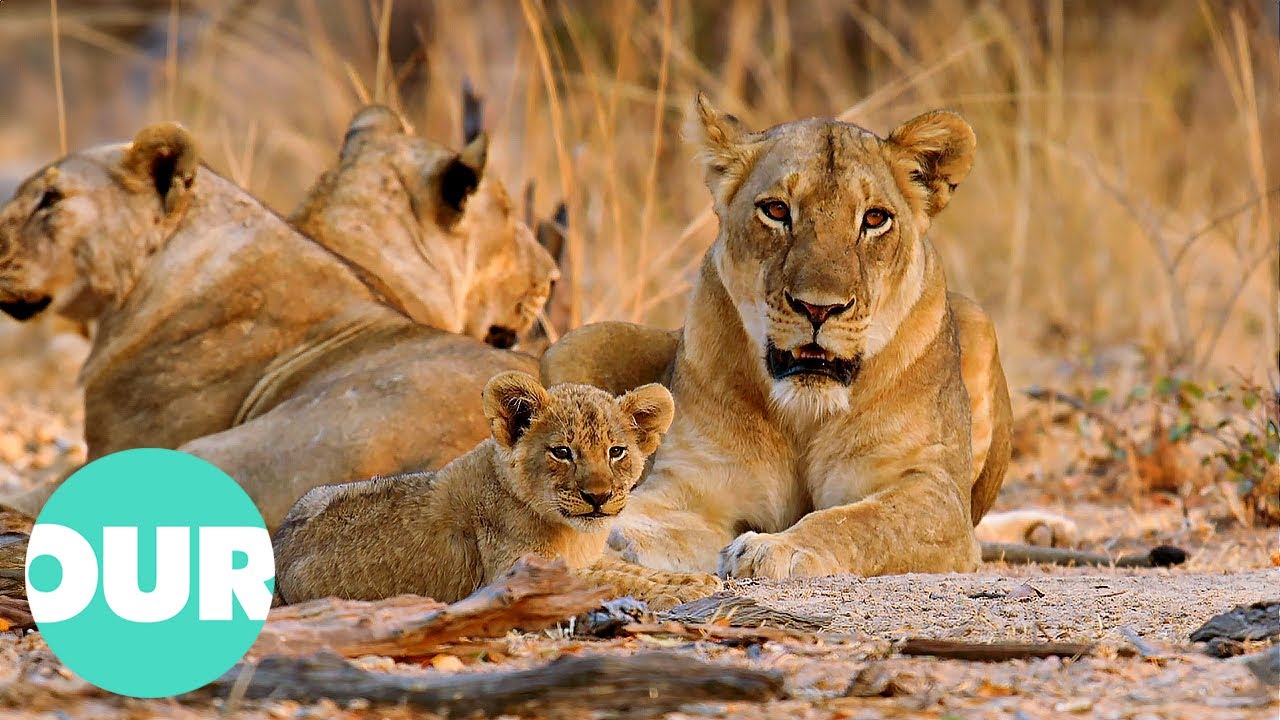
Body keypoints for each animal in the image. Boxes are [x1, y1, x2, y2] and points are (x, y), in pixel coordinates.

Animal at [273, 372, 722, 610]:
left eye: (616, 452)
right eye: (562, 452)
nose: (598, 497)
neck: (572, 534)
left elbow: (627, 570)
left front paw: (693, 580)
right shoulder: (513, 575)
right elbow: (614, 581)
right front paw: (683, 589)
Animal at [541, 94, 1030, 579]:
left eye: (875, 219)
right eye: (776, 210)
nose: (819, 308)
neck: (804, 416)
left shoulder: (932, 493)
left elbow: (859, 522)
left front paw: (778, 548)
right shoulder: (695, 484)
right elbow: (641, 513)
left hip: (978, 320)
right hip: (577, 342)